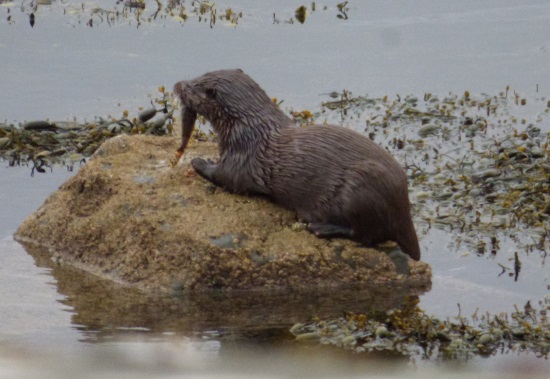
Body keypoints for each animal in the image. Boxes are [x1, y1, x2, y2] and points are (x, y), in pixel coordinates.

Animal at [172, 69, 422, 262]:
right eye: (197, 75)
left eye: (193, 87)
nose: (177, 84)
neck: (249, 130)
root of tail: (403, 205)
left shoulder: (242, 159)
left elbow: (227, 178)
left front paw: (200, 162)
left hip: (361, 188)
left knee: (368, 234)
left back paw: (321, 227)